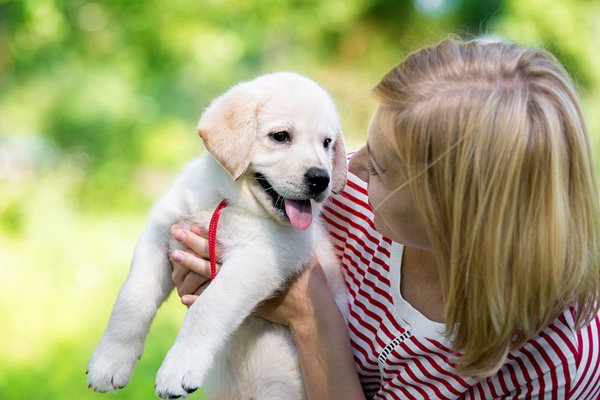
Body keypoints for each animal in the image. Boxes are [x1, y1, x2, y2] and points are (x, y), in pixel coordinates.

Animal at [89, 72, 352, 400]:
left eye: (327, 143)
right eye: (280, 136)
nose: (321, 179)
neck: (228, 201)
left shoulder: (261, 258)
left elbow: (208, 307)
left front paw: (179, 368)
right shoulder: (159, 233)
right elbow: (132, 298)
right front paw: (109, 362)